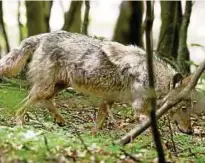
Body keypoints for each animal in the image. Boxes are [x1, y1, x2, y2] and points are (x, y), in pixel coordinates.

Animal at [0, 30, 192, 134]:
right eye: (183, 108)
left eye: (188, 108)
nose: (190, 131)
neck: (153, 76)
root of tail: (45, 35)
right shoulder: (138, 109)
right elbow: (151, 127)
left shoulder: (108, 100)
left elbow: (98, 123)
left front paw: (93, 138)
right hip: (45, 88)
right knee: (21, 107)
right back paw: (20, 126)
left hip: (57, 87)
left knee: (47, 102)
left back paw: (61, 120)